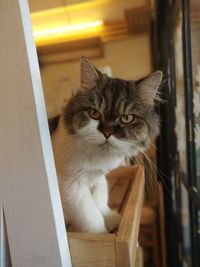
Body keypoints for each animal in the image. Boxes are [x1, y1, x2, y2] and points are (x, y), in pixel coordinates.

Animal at [50, 56, 162, 234]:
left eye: (127, 118)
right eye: (94, 113)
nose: (107, 133)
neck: (98, 157)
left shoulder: (98, 178)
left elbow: (100, 200)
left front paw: (111, 218)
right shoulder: (72, 184)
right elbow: (90, 216)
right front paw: (101, 233)